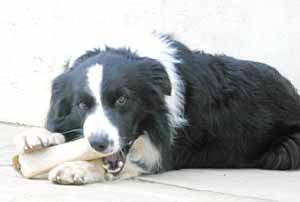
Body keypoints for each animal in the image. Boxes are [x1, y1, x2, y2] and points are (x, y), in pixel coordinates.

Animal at [15, 33, 300, 185]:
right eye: (82, 104)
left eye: (122, 100)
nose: (98, 143)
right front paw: (37, 137)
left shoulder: (166, 149)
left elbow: (132, 162)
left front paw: (76, 168)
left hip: (287, 148)